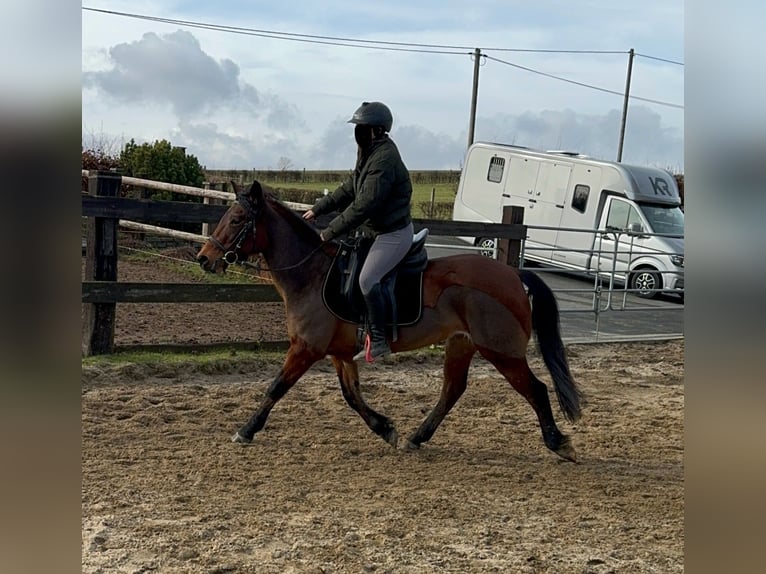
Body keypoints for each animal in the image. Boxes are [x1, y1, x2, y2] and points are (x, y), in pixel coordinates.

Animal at [196, 182, 584, 462]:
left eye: (236, 220)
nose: (204, 258)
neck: (312, 274)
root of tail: (512, 274)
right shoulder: (339, 354)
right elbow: (352, 396)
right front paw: (385, 428)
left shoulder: (306, 349)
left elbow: (276, 388)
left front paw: (246, 430)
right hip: (462, 345)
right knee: (452, 390)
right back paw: (417, 438)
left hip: (501, 351)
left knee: (535, 389)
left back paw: (558, 443)